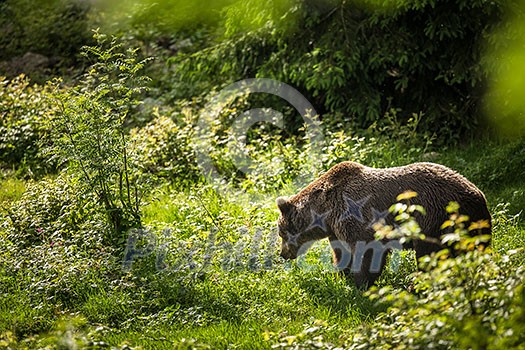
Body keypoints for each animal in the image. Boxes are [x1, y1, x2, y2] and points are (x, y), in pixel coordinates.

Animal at [276, 161, 490, 288]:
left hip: (435, 218)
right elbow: (341, 251)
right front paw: (341, 273)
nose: (283, 253)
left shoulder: (357, 216)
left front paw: (361, 284)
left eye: (281, 233)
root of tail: (478, 195)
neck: (326, 211)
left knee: (430, 255)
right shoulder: (336, 229)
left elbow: (367, 252)